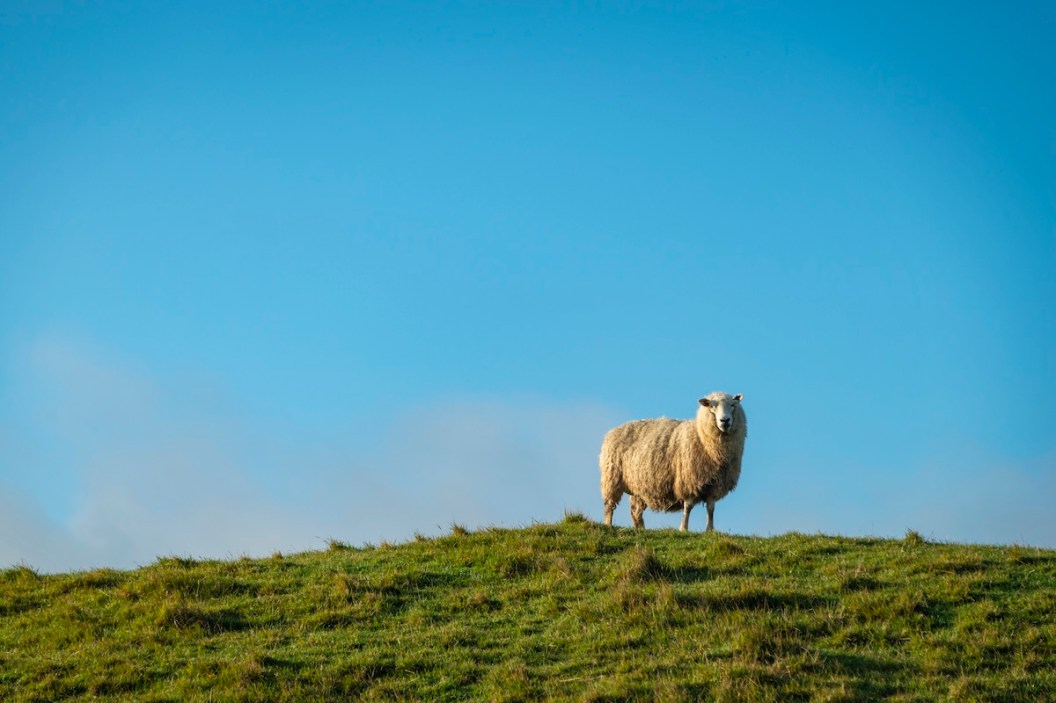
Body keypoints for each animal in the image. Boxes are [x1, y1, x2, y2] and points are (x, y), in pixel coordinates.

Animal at [600, 392, 747, 532]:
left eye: (733, 405)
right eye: (712, 406)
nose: (725, 421)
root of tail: (613, 431)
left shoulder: (715, 486)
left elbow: (711, 509)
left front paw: (710, 530)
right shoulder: (687, 481)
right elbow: (688, 507)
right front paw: (684, 528)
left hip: (639, 486)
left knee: (635, 511)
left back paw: (640, 529)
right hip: (612, 478)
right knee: (609, 505)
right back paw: (608, 524)